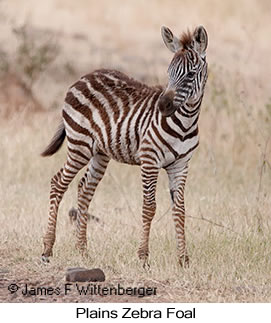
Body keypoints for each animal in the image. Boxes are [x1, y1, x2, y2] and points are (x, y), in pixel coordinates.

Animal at [41, 25, 209, 268]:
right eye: (169, 72)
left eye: (190, 74)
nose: (162, 105)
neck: (185, 123)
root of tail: (84, 76)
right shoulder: (149, 160)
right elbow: (149, 207)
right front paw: (143, 257)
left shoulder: (181, 165)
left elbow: (180, 210)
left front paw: (183, 260)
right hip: (79, 145)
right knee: (57, 184)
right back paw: (47, 249)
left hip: (100, 153)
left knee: (84, 189)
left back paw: (82, 250)